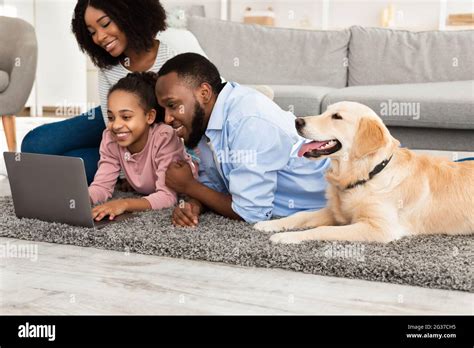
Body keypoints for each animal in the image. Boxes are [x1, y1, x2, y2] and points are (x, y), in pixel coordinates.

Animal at [256, 100, 474, 245]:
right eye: (325, 112)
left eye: (337, 117)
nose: (298, 121)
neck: (369, 174)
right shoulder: (336, 212)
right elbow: (301, 215)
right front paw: (270, 225)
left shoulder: (380, 228)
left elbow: (322, 229)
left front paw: (287, 236)